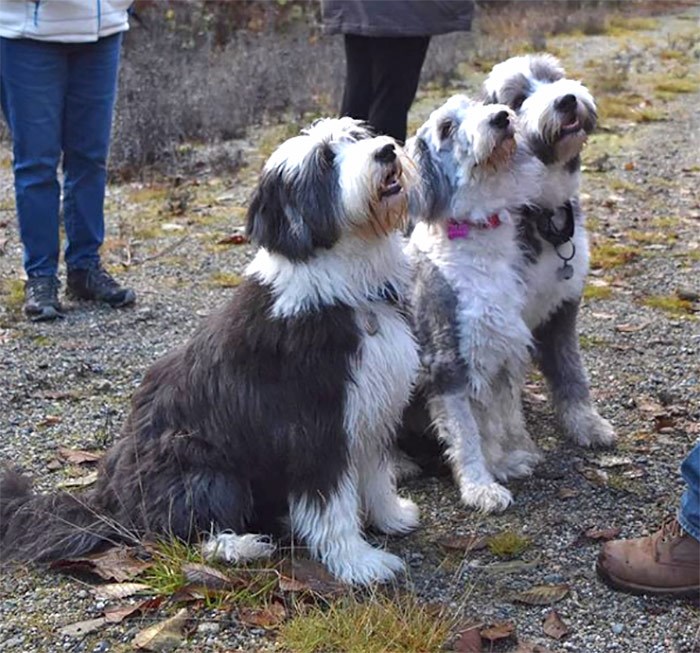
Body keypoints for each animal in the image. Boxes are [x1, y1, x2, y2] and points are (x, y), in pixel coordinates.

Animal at [0, 117, 422, 584]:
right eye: (326, 160)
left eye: (357, 137)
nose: (386, 150)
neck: (344, 284)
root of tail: (107, 499)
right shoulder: (313, 426)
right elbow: (330, 505)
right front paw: (359, 562)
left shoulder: (369, 410)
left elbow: (375, 474)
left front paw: (391, 516)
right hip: (200, 467)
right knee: (169, 533)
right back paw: (240, 546)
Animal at [402, 95, 544, 516]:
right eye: (447, 127)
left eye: (476, 104)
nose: (500, 118)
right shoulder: (447, 362)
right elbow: (466, 434)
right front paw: (481, 487)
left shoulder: (499, 351)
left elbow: (495, 420)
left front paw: (503, 463)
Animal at [484, 54, 616, 448]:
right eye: (517, 99)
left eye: (552, 78)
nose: (566, 100)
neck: (543, 213)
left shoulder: (563, 309)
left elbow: (570, 368)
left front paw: (585, 422)